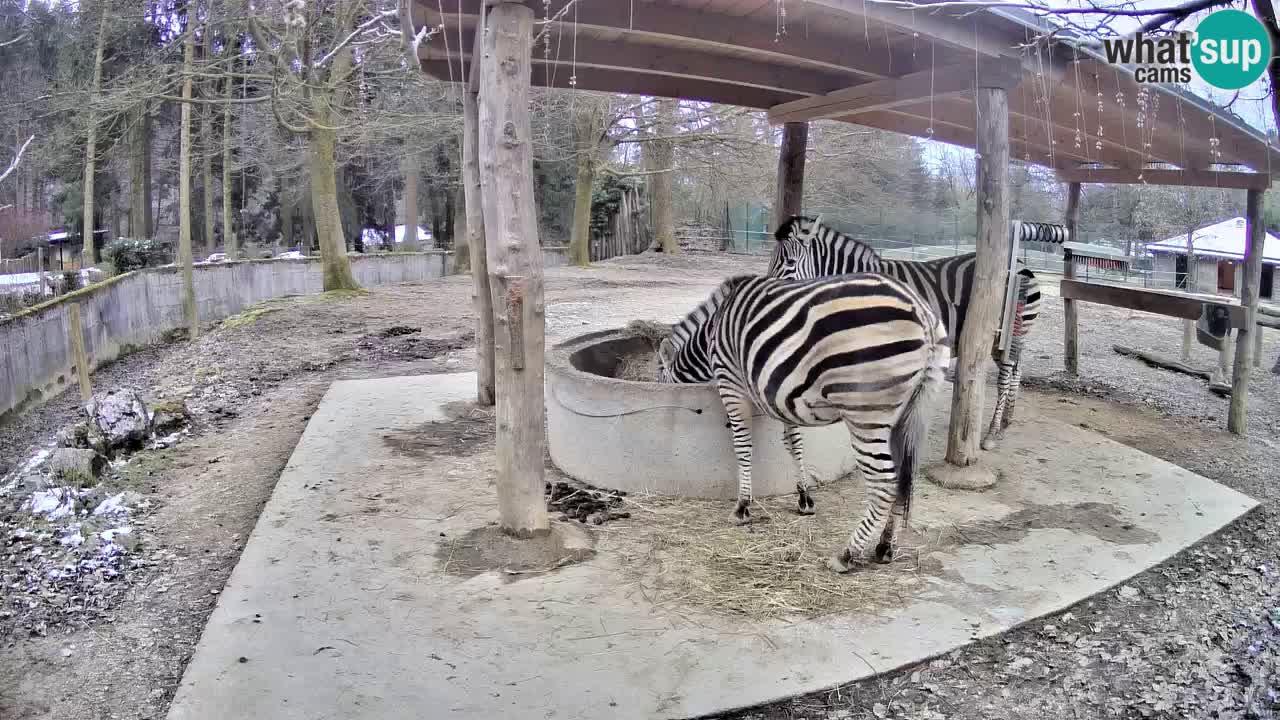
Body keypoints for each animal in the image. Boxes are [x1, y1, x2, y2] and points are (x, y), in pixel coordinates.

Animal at [660, 271, 952, 568]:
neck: (713, 331)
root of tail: (921, 311)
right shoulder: (782, 394)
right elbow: (794, 443)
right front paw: (804, 498)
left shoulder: (731, 383)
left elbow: (743, 446)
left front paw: (742, 507)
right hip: (909, 412)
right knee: (906, 477)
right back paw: (884, 546)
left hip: (866, 413)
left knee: (885, 484)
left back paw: (847, 554)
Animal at [768, 212, 1039, 448]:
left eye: (790, 262)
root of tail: (1021, 263)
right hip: (1005, 338)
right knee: (1016, 369)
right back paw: (1005, 423)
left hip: (1006, 333)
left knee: (1006, 377)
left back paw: (992, 433)